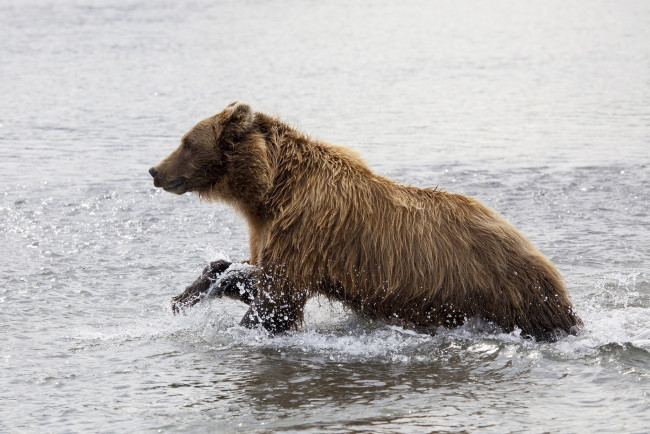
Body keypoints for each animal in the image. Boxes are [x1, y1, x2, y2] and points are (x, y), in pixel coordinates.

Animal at [149, 101, 580, 340]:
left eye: (186, 142)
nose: (154, 170)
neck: (269, 191)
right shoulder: (279, 234)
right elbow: (253, 274)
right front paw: (186, 296)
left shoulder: (306, 231)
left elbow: (278, 301)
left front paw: (241, 328)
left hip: (502, 289)